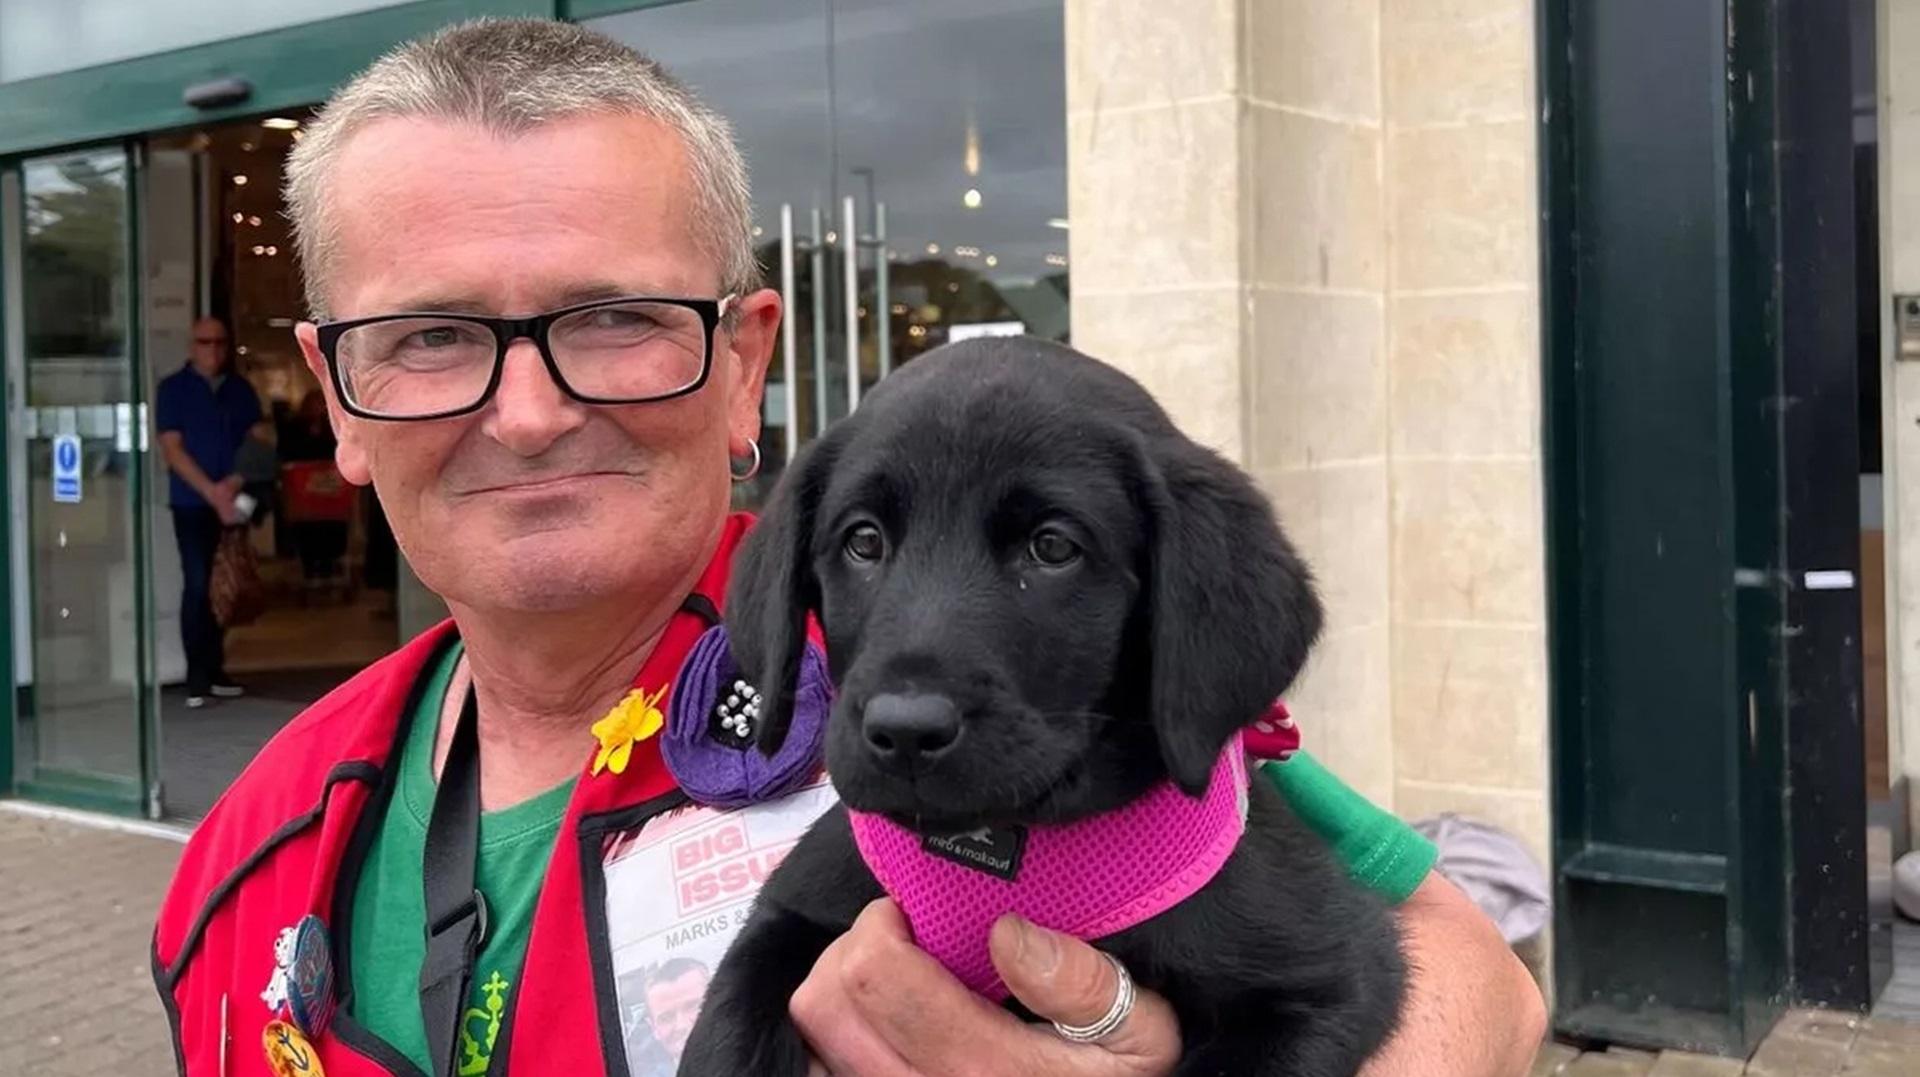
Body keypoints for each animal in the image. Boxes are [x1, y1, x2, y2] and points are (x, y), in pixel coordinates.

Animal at [683, 335, 1405, 1075]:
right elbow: (725, 1033)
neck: (1007, 844)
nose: (905, 732)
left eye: (1053, 546)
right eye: (863, 540)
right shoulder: (785, 920)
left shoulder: (1325, 975)